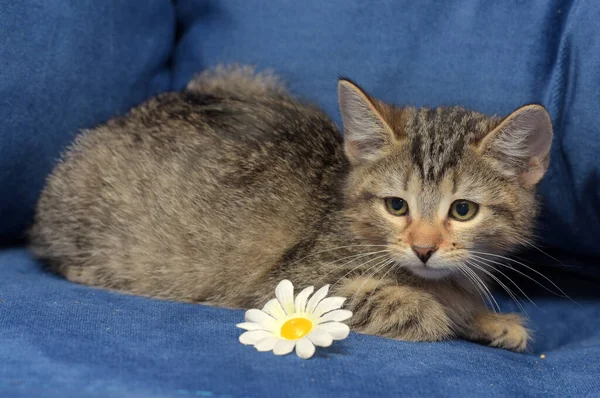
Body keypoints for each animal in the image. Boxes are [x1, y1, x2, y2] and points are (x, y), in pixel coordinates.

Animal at [29, 65, 552, 352]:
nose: (424, 248)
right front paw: (451, 312)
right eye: (396, 205)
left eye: (462, 210)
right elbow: (420, 309)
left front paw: (490, 319)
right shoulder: (292, 285)